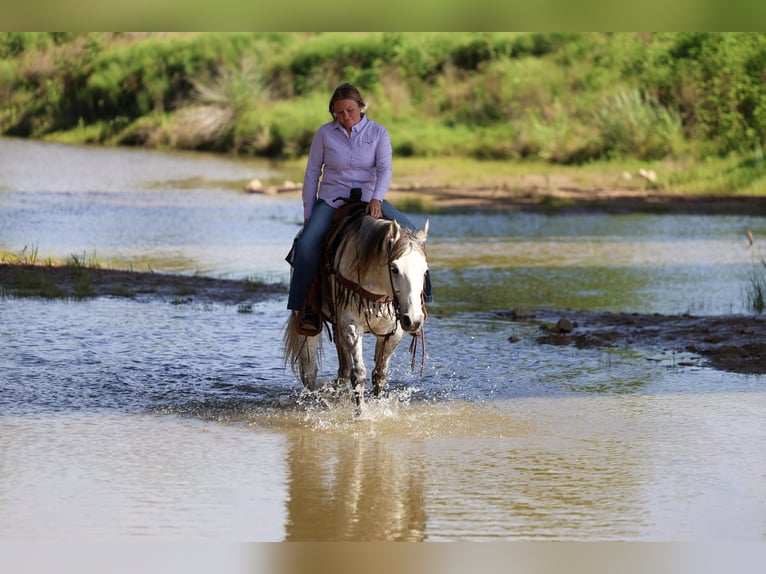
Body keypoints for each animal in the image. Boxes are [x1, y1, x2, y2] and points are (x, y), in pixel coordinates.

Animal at [283, 210, 430, 413]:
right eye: (394, 268)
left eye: (424, 270)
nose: (414, 320)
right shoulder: (351, 327)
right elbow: (359, 374)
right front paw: (361, 414)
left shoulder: (393, 333)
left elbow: (379, 375)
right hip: (305, 323)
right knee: (309, 373)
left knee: (342, 370)